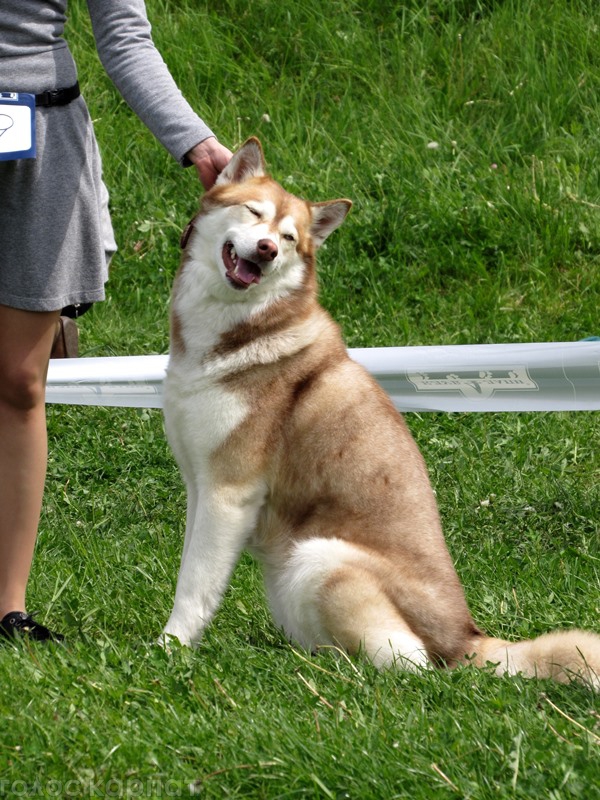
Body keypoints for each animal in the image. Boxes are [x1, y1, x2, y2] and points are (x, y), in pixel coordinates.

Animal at [161, 138, 600, 688]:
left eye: (289, 237)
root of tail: (468, 638)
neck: (236, 331)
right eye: (254, 212)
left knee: (411, 667)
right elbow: (191, 570)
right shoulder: (199, 486)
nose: (265, 250)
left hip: (321, 557)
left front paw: (169, 648)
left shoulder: (227, 492)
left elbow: (194, 586)